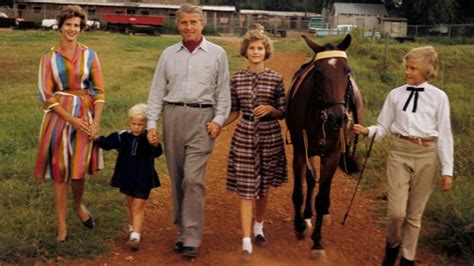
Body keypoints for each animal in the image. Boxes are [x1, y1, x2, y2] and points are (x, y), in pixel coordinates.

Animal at [286, 33, 362, 256]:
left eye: (347, 71)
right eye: (318, 72)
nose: (337, 117)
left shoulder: (332, 155)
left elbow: (322, 198)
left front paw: (317, 241)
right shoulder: (301, 151)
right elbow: (299, 191)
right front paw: (300, 225)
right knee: (311, 181)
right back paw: (306, 216)